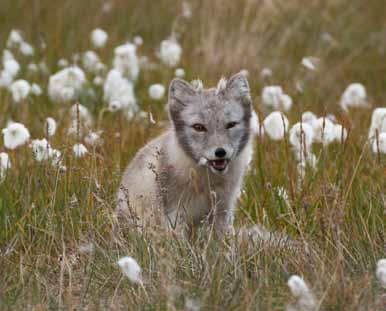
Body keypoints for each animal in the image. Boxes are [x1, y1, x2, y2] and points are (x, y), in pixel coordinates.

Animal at [116, 71, 258, 236]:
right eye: (199, 127)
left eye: (231, 125)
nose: (220, 152)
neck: (207, 182)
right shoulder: (174, 213)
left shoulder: (223, 209)